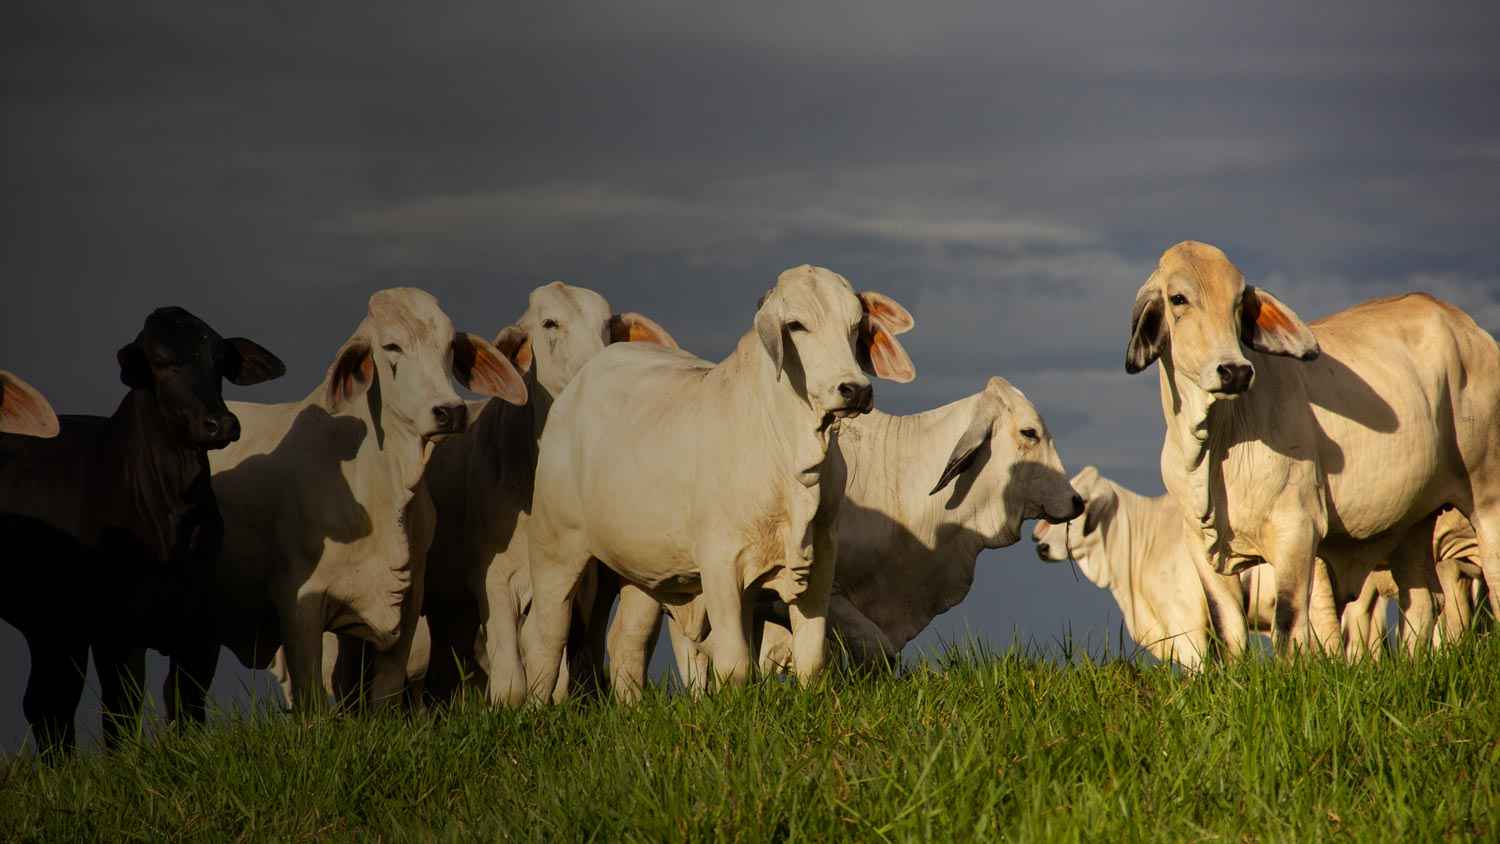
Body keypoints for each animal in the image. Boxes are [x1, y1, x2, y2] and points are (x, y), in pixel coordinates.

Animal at [0, 308, 282, 752]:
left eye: (220, 360)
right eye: (162, 362)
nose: (220, 424)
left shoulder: (200, 632)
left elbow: (186, 706)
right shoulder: (117, 634)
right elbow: (121, 713)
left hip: (53, 625)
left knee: (49, 702)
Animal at [163, 289, 525, 713]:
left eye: (450, 347)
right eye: (391, 346)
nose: (449, 411)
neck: (384, 488)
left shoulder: (407, 603)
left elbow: (384, 694)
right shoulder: (299, 606)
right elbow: (311, 696)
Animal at [528, 265, 924, 701]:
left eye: (855, 326)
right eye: (796, 325)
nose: (855, 389)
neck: (791, 456)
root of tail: (575, 390)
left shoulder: (820, 556)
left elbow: (811, 657)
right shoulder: (720, 563)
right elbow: (734, 663)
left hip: (638, 566)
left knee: (626, 642)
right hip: (556, 547)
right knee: (546, 637)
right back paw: (538, 707)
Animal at [1128, 241, 1500, 656]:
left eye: (1238, 303)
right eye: (1178, 298)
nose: (1236, 371)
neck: (1217, 443)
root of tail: (1469, 329)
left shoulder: (1297, 530)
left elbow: (1289, 622)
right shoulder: (1202, 549)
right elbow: (1229, 629)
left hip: (1487, 493)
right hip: (1414, 519)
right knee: (1422, 601)